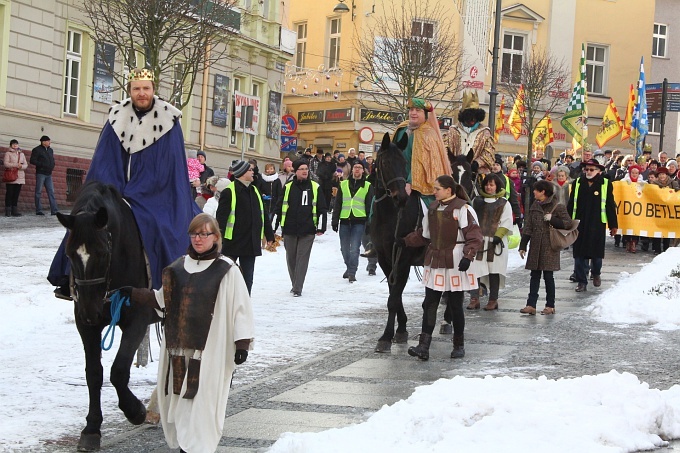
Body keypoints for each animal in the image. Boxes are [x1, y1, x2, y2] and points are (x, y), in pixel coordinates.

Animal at [56, 181, 160, 452]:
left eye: (103, 253)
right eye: (69, 254)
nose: (91, 311)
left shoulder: (137, 320)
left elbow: (119, 370)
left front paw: (135, 411)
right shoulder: (85, 325)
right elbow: (94, 372)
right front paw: (92, 428)